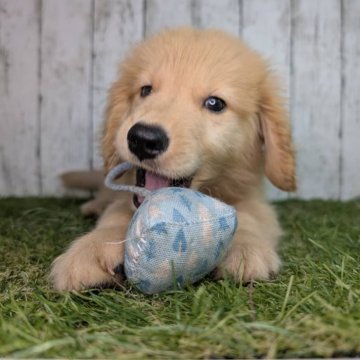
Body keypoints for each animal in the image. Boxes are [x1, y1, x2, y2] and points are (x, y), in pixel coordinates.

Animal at [50, 28, 296, 292]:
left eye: (215, 103)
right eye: (146, 90)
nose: (143, 139)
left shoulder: (252, 196)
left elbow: (250, 214)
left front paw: (246, 249)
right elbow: (116, 212)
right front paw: (92, 248)